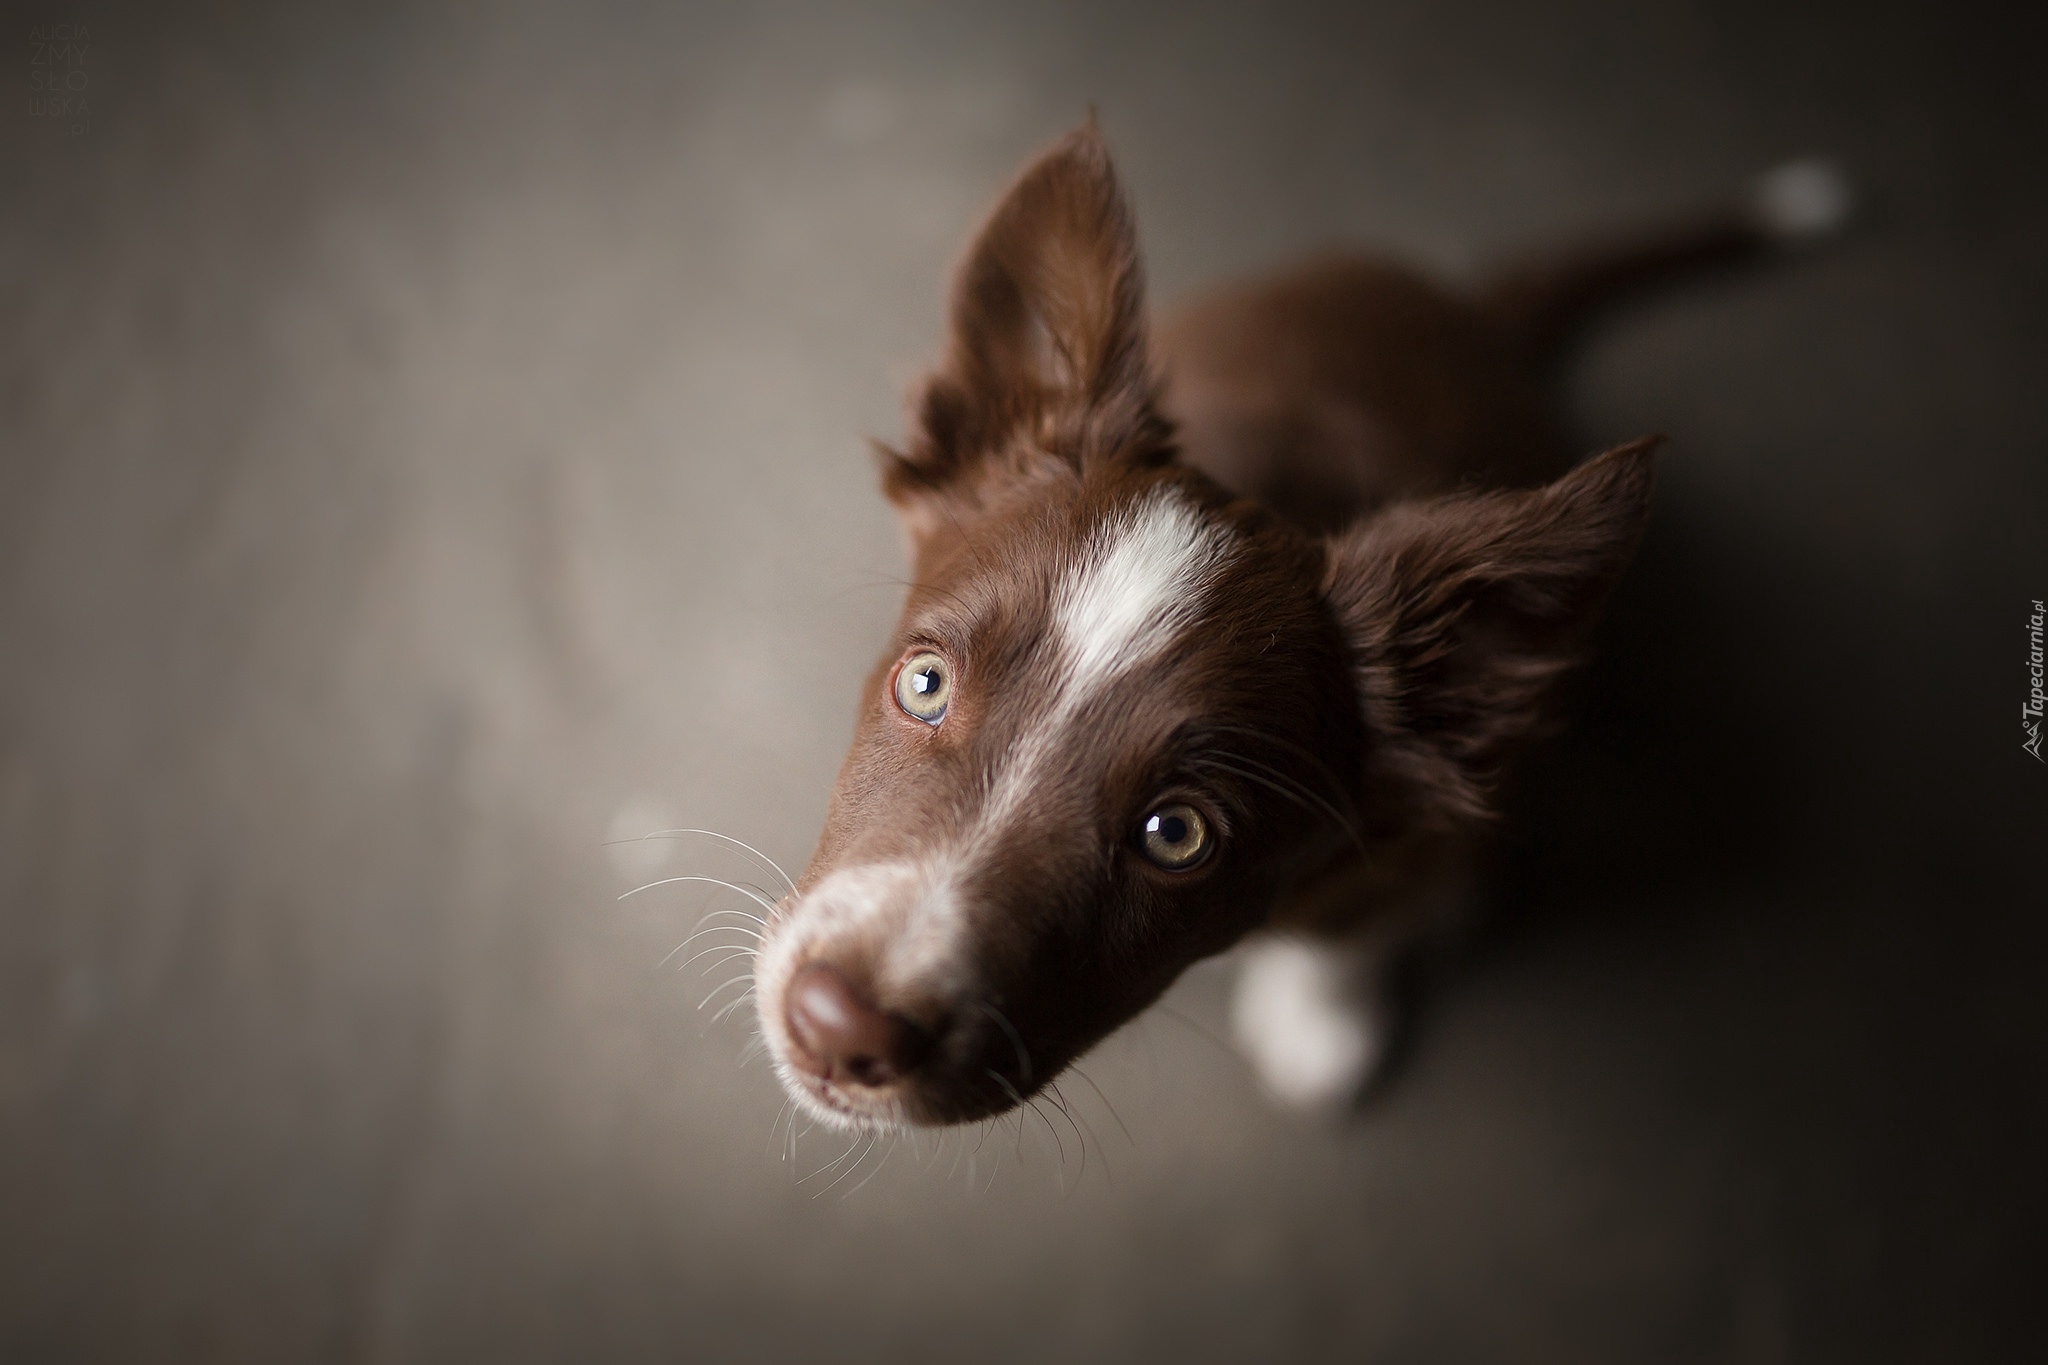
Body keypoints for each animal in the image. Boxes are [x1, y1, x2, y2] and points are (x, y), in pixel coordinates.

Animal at [753, 122, 1859, 1129]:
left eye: (1176, 834)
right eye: (924, 683)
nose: (837, 1024)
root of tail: (1470, 313)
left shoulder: (1399, 839)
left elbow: (1357, 925)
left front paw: (1325, 1019)